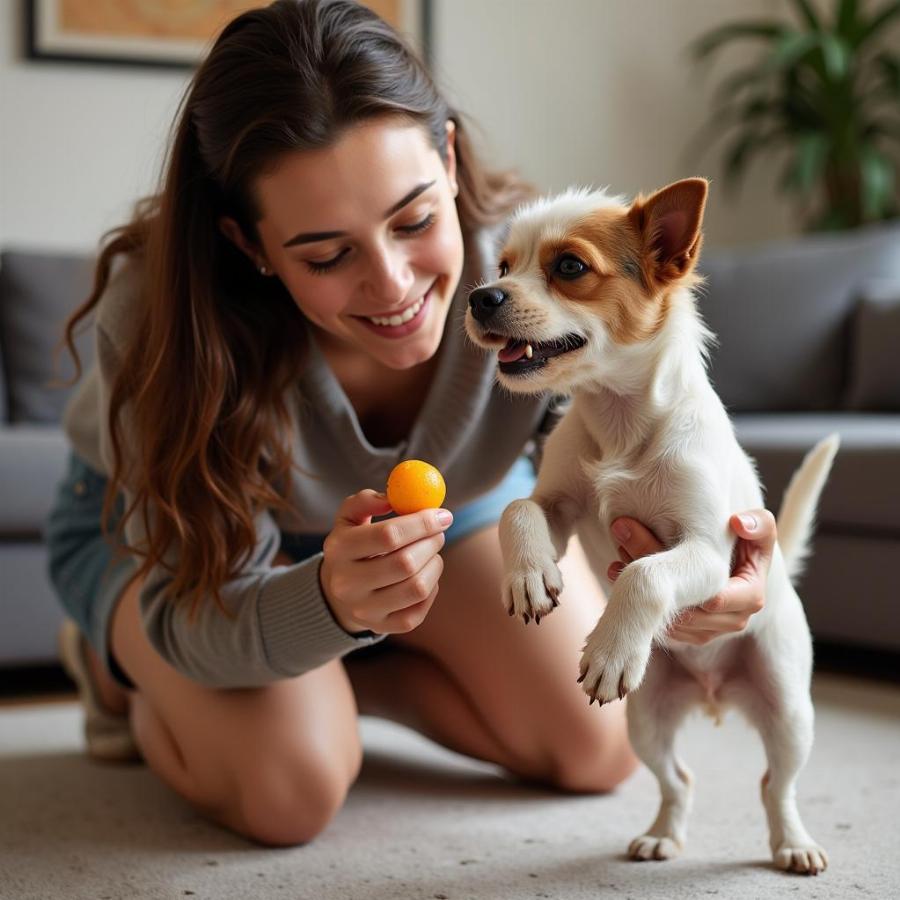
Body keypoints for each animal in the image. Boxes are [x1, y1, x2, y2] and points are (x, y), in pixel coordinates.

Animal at [468, 179, 840, 876]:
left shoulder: (709, 552)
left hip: (790, 714)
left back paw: (794, 844)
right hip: (644, 718)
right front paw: (529, 576)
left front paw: (611, 647)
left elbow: (643, 573)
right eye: (502, 267)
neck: (619, 420)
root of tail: (716, 694)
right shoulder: (557, 505)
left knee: (776, 786)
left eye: (569, 267)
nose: (480, 296)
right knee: (681, 781)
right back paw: (662, 835)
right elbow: (519, 510)